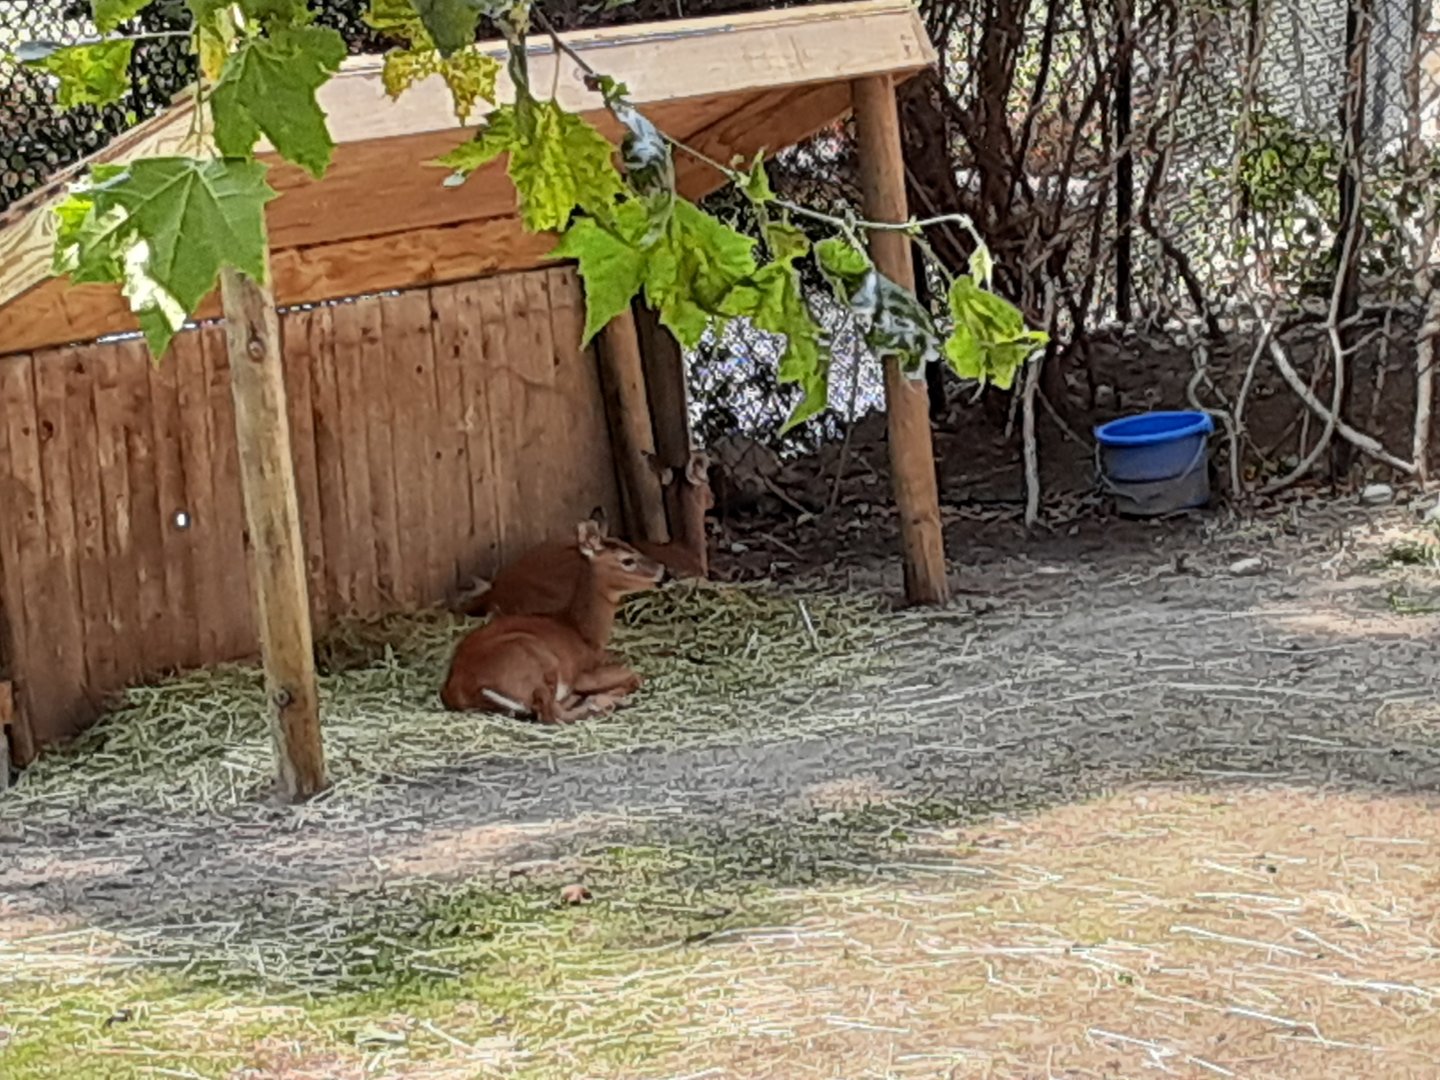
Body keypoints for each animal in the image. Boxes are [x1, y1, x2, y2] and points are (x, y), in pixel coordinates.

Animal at [440, 519, 664, 723]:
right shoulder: (581, 672)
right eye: (627, 560)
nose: (664, 571)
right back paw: (601, 704)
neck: (583, 633)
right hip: (537, 660)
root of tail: (463, 689)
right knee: (551, 713)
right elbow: (634, 675)